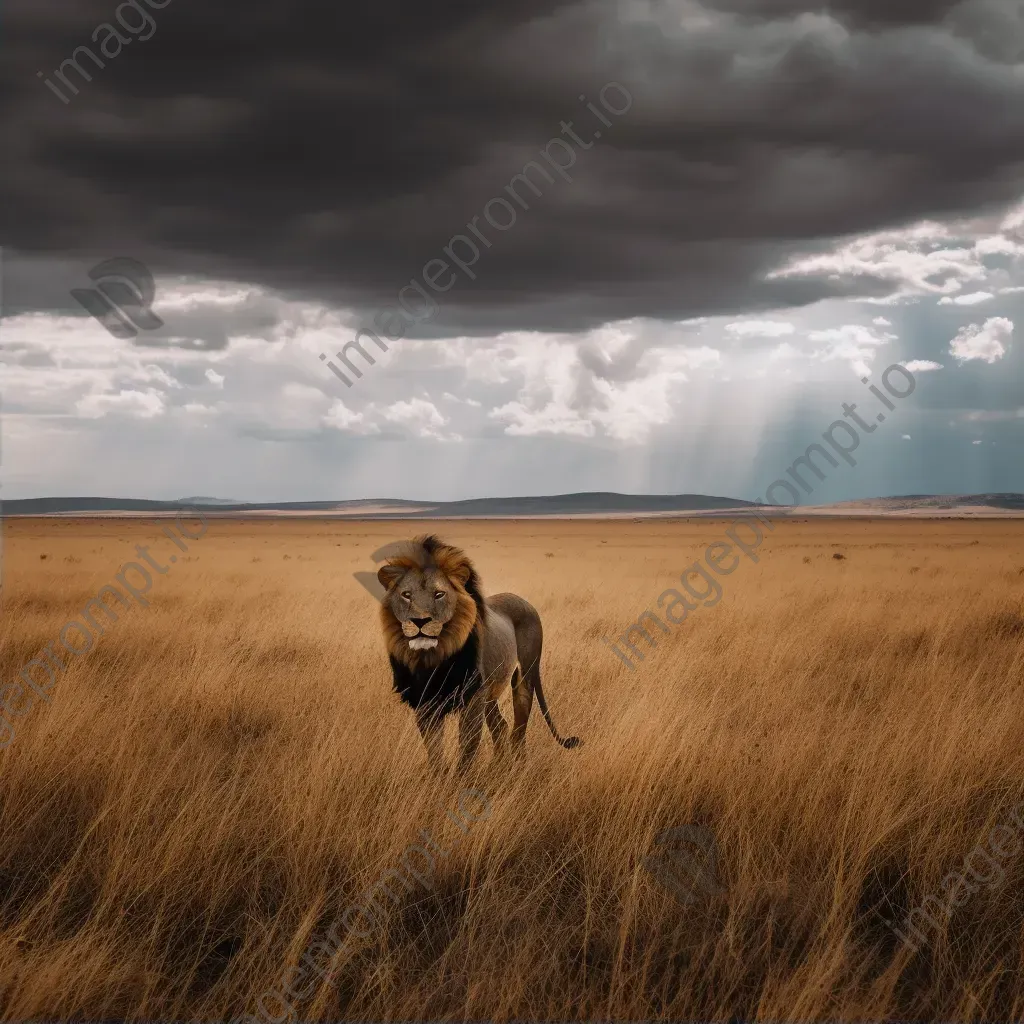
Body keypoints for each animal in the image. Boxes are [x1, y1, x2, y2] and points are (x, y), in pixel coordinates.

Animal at [378, 536, 585, 770]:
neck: (437, 655)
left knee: (519, 728)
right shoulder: (424, 699)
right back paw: (497, 767)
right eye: (406, 595)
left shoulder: (473, 697)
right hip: (491, 691)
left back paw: (518, 769)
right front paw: (439, 777)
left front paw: (461, 778)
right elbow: (434, 750)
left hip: (524, 674)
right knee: (501, 726)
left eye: (439, 594)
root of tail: (524, 601)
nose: (420, 621)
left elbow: (468, 745)